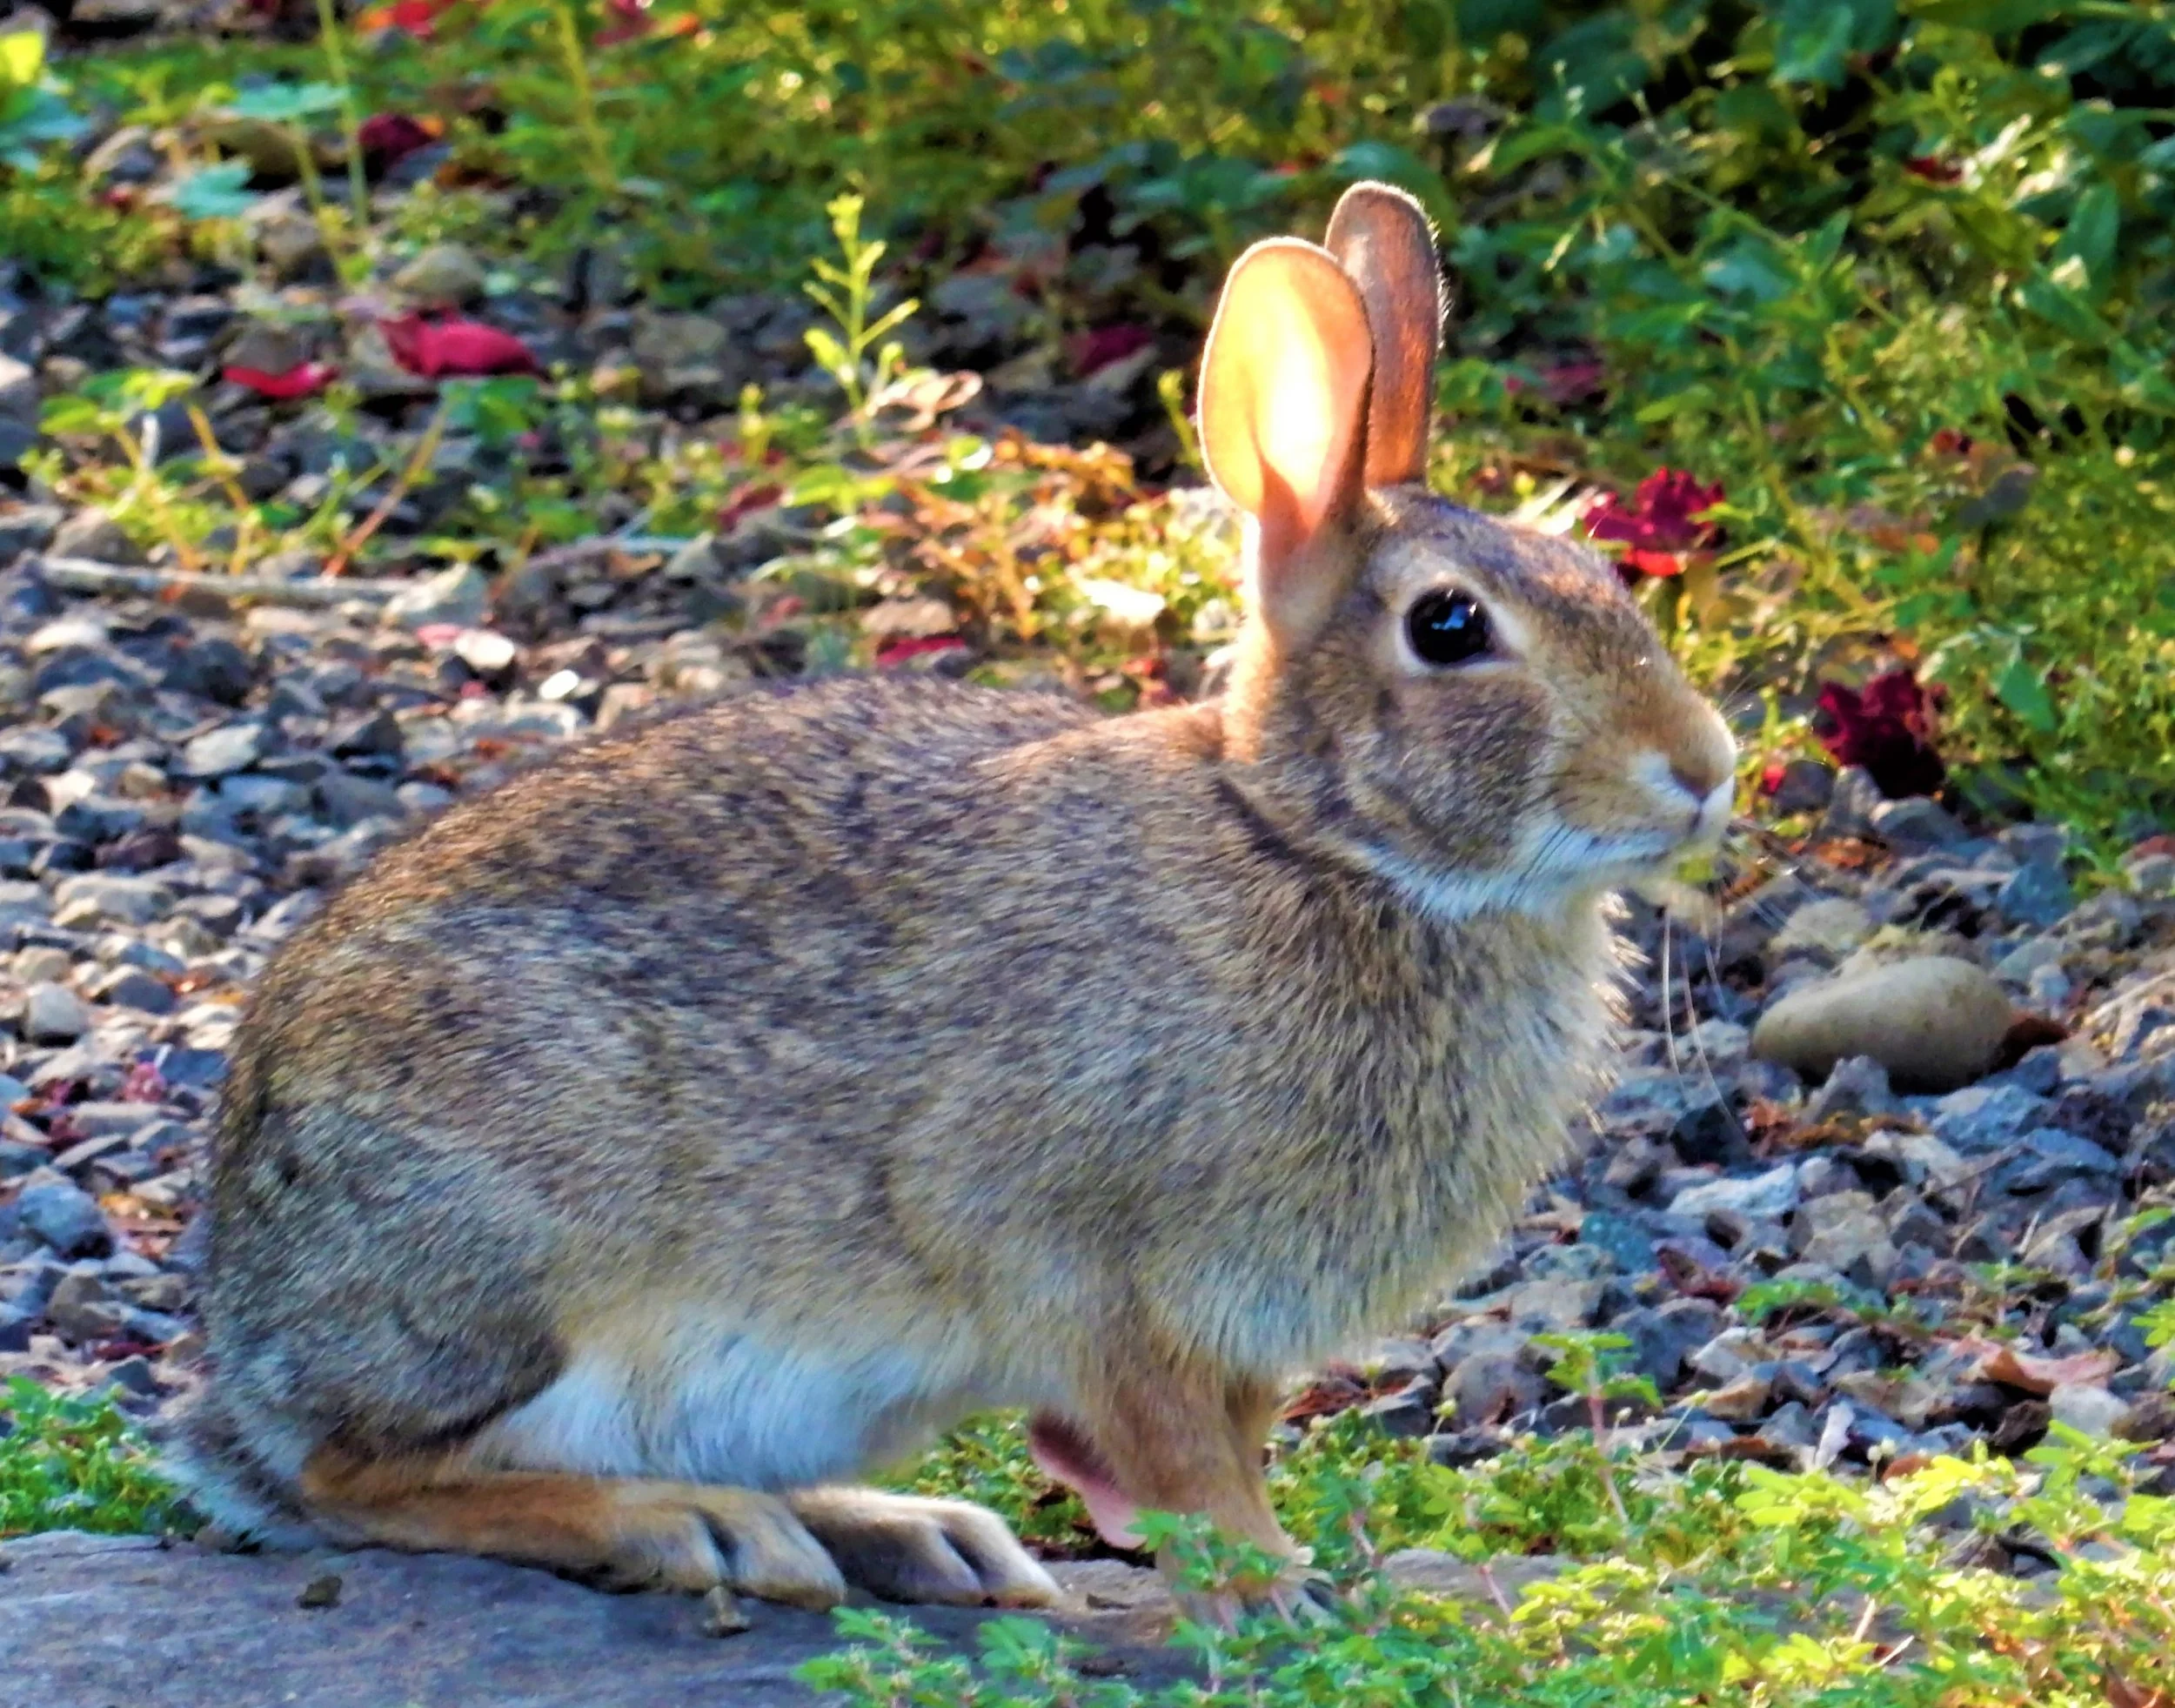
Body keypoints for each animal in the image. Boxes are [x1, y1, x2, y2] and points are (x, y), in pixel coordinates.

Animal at [178, 181, 1735, 1613]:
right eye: (1452, 625)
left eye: (1596, 567)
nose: (1706, 770)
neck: (1323, 845)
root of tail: (246, 1317)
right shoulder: (1104, 1281)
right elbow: (1187, 1462)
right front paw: (1277, 1593)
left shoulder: (1235, 1336)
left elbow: (1222, 1449)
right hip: (511, 1256)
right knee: (363, 1476)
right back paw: (694, 1527)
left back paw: (911, 1534)